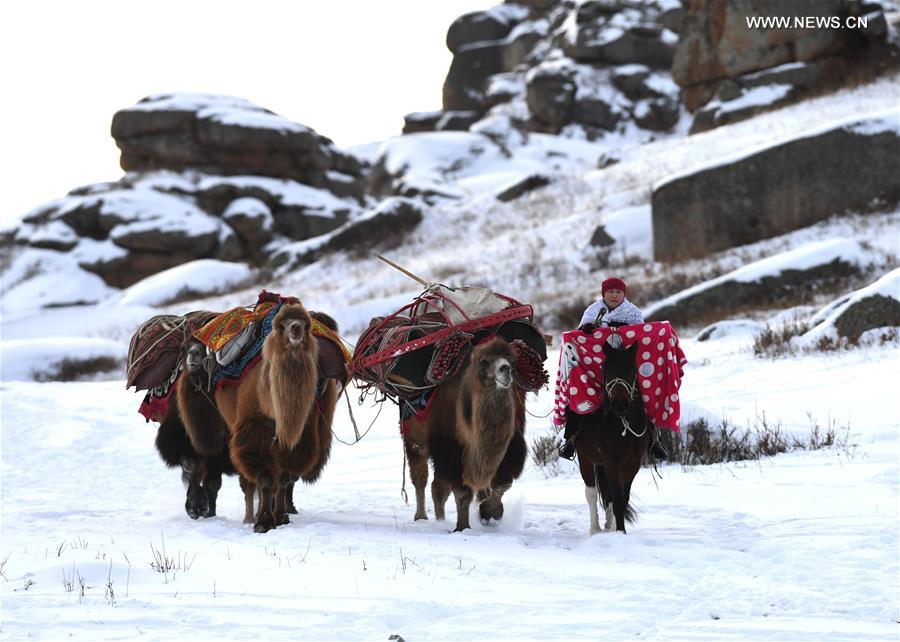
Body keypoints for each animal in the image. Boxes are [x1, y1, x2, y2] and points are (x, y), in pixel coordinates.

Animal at [402, 336, 528, 528]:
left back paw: (441, 519)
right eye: (484, 362)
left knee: (438, 488)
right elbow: (462, 492)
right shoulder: (450, 449)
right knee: (421, 478)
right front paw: (462, 527)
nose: (505, 369)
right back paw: (421, 517)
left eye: (513, 362)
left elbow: (503, 484)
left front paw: (489, 512)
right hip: (414, 442)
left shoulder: (512, 447)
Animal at [576, 332, 648, 532]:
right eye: (607, 371)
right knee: (591, 493)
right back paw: (595, 529)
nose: (619, 405)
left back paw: (608, 526)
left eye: (631, 371)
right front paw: (620, 532)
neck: (623, 426)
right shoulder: (612, 462)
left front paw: (618, 530)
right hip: (585, 458)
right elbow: (616, 499)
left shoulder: (632, 465)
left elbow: (622, 499)